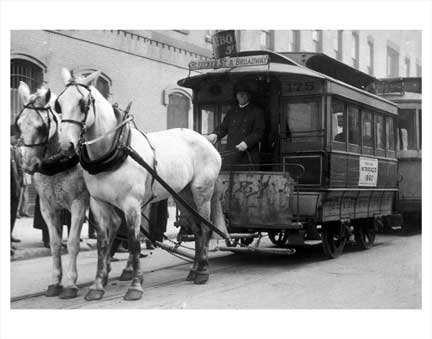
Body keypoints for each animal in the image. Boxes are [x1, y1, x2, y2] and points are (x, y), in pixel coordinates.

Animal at [16, 82, 90, 300]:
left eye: (41, 127)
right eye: (19, 125)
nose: (28, 165)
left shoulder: (79, 204)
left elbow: (72, 243)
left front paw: (71, 284)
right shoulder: (47, 207)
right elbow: (56, 244)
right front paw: (55, 282)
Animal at [56, 69, 230, 302]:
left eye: (83, 103)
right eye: (59, 103)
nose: (66, 145)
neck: (115, 149)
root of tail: (207, 140)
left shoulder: (131, 204)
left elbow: (134, 240)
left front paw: (135, 286)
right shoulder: (99, 204)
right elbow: (103, 243)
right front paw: (97, 286)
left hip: (201, 191)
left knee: (204, 226)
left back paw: (203, 271)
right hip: (182, 195)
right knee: (195, 227)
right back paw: (194, 270)